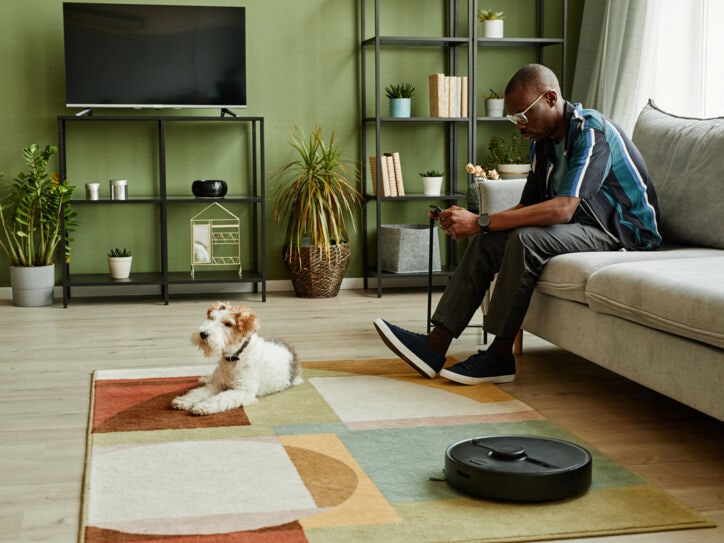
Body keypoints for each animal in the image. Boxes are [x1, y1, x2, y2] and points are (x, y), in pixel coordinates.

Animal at [171, 302, 302, 416]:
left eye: (228, 324)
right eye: (211, 318)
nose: (203, 334)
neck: (235, 356)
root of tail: (290, 348)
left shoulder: (243, 391)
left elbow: (220, 398)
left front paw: (203, 407)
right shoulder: (217, 384)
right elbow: (198, 392)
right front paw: (183, 401)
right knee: (210, 379)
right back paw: (204, 379)